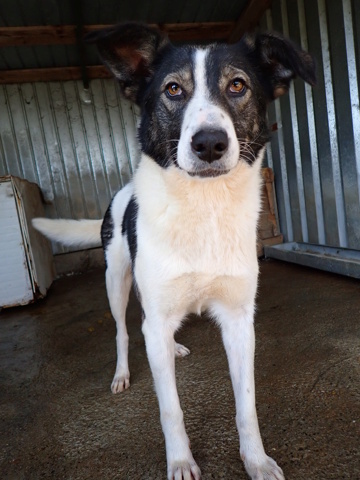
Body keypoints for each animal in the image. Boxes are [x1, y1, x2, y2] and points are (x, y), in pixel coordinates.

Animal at [33, 22, 316, 480]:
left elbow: (246, 404)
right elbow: (171, 409)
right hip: (116, 279)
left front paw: (256, 460)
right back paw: (123, 371)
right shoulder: (156, 310)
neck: (204, 206)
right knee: (125, 329)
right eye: (173, 89)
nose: (210, 143)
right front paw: (181, 462)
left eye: (237, 85)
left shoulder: (239, 319)